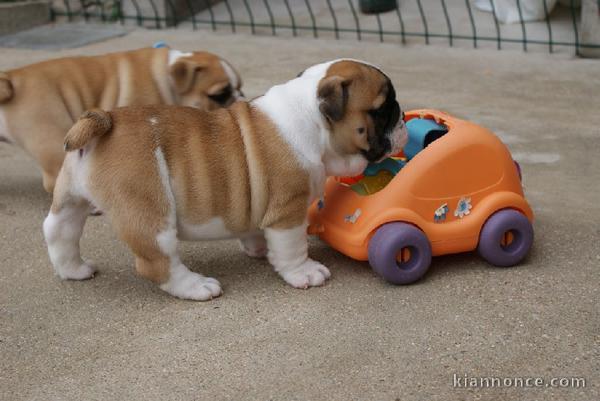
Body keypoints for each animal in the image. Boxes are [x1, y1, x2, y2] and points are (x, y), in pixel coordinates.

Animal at [0, 47, 244, 192]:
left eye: (240, 88)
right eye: (219, 95)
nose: (240, 98)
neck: (167, 80)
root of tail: (10, 78)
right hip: (50, 136)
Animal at [43, 57, 408, 298]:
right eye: (382, 109)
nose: (403, 115)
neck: (312, 119)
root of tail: (104, 120)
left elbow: (252, 225)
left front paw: (258, 247)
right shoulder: (287, 211)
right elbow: (292, 246)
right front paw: (303, 272)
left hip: (71, 195)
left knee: (59, 229)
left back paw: (72, 270)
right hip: (149, 212)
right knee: (156, 261)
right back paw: (197, 286)